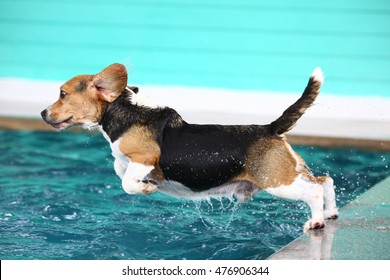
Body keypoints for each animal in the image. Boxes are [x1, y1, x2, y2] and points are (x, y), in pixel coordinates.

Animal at [40, 64, 338, 232]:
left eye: (62, 94)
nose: (43, 113)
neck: (124, 111)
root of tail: (270, 128)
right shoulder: (127, 162)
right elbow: (120, 169)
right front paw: (144, 183)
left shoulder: (145, 157)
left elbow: (127, 181)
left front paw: (146, 187)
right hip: (290, 172)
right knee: (325, 180)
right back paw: (331, 213)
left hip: (276, 181)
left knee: (313, 191)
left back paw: (317, 221)